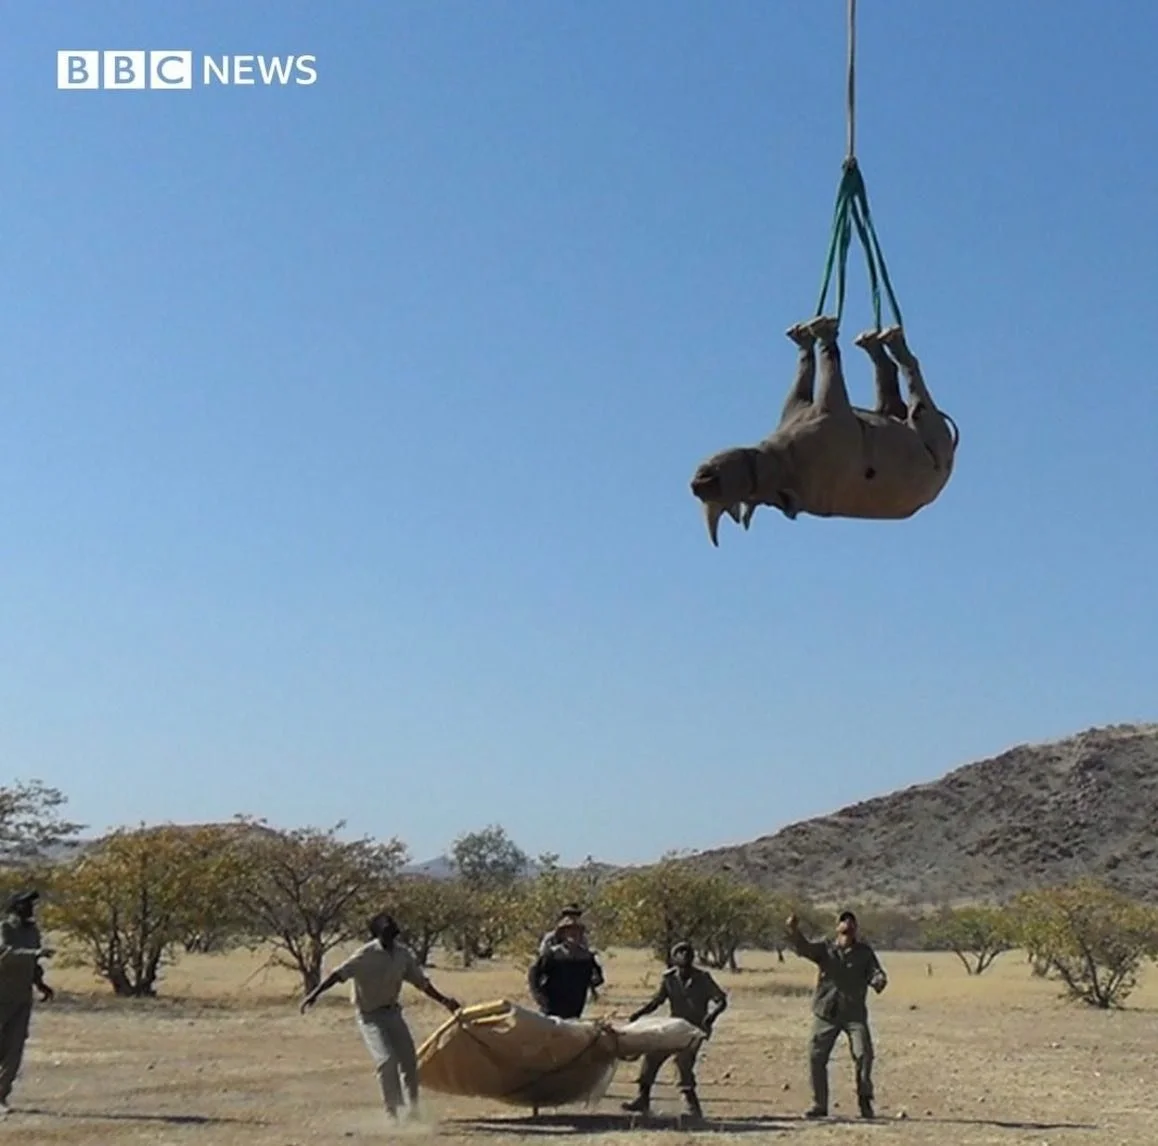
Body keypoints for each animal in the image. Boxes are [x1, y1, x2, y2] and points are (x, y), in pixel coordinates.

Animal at [689, 315, 959, 545]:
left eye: (728, 483)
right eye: (745, 494)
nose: (698, 484)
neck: (779, 461)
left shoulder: (801, 409)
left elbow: (809, 377)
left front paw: (807, 338)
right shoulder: (832, 419)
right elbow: (831, 370)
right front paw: (823, 335)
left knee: (894, 403)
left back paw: (877, 344)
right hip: (936, 443)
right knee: (916, 405)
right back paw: (889, 344)